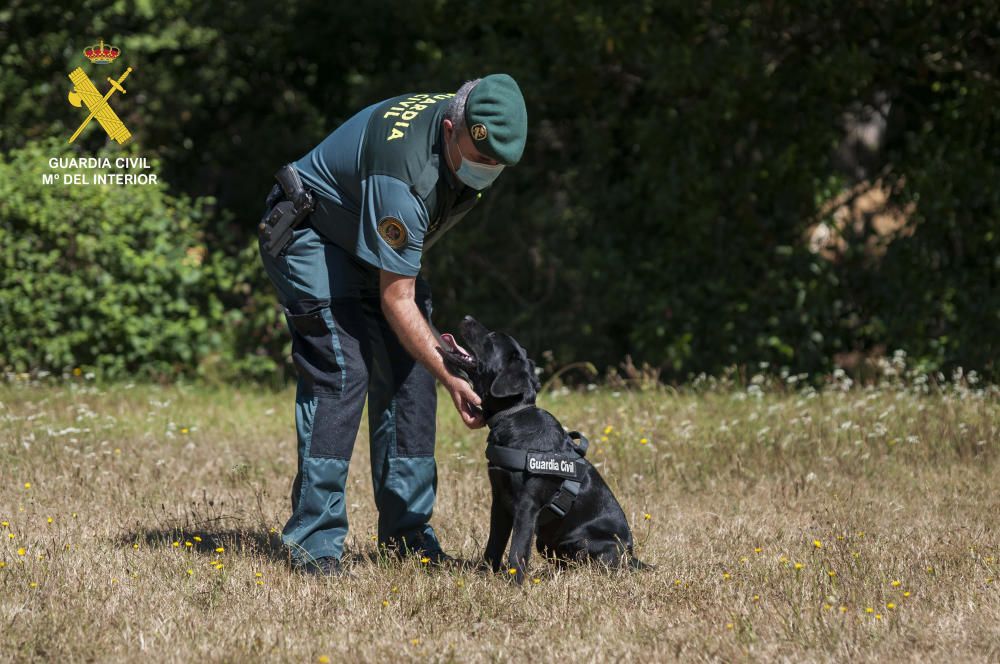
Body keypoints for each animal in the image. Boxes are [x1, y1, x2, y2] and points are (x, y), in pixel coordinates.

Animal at [440, 316, 648, 580]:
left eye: (492, 337)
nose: (467, 318)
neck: (513, 414)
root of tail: (632, 557)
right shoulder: (499, 501)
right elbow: (494, 545)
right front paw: (485, 576)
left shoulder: (527, 506)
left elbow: (517, 549)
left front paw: (514, 582)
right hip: (547, 544)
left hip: (584, 542)